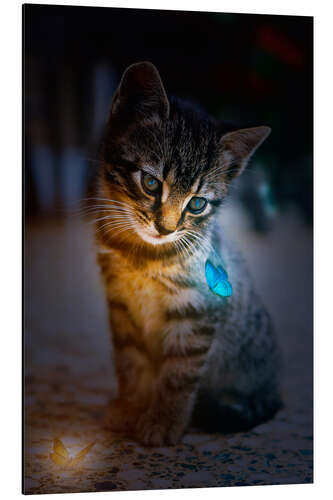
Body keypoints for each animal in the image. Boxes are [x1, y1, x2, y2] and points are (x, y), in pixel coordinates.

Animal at [94, 60, 282, 448]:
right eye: (151, 183)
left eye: (197, 204)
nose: (165, 228)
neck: (143, 255)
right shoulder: (120, 306)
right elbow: (129, 361)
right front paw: (129, 405)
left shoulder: (197, 310)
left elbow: (179, 373)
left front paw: (164, 420)